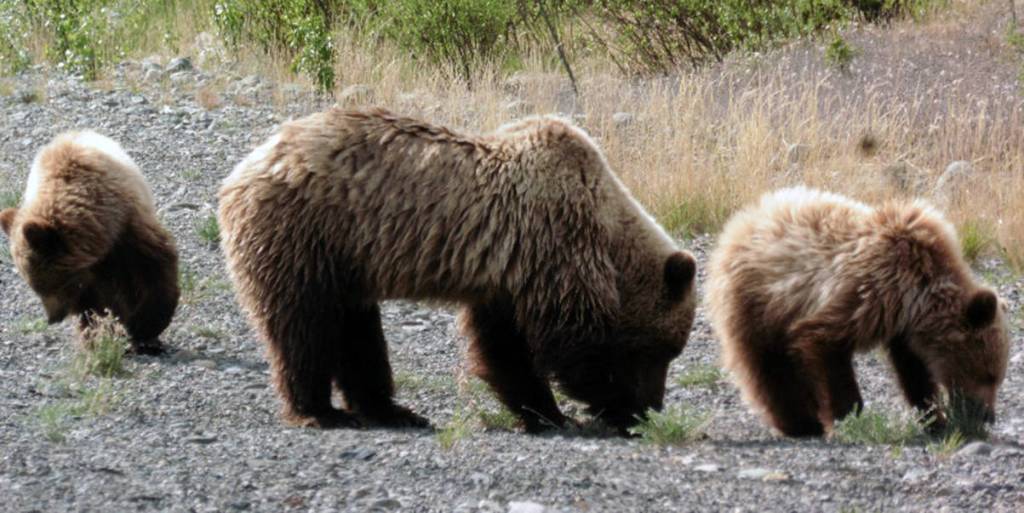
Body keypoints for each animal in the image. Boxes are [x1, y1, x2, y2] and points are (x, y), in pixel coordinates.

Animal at [0, 131, 180, 355]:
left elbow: (156, 268)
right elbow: (91, 305)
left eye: (49, 283)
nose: (53, 318)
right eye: (34, 286)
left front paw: (144, 330)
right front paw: (97, 335)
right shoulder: (87, 279)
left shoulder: (128, 227)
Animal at [218, 107, 698, 433]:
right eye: (663, 350)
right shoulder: (552, 243)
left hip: (345, 260)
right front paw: (608, 407)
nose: (654, 405)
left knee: (356, 333)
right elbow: (568, 339)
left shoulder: (508, 275)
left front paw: (543, 411)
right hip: (304, 234)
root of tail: (242, 170)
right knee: (304, 326)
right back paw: (319, 411)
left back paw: (392, 410)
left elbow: (503, 348)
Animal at [706, 186, 1009, 437]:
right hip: (758, 299)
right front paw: (849, 415)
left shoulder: (900, 325)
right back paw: (801, 423)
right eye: (989, 374)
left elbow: (914, 369)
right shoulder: (867, 292)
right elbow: (822, 343)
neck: (914, 295)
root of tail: (737, 224)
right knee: (768, 365)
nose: (989, 416)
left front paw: (935, 418)